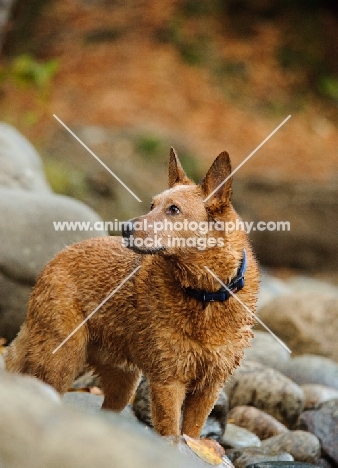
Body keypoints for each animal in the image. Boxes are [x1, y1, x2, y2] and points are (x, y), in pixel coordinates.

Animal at [5, 149, 258, 436]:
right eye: (151, 206)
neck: (206, 295)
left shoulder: (210, 386)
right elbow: (171, 433)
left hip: (123, 380)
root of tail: (55, 258)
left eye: (173, 209)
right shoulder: (168, 380)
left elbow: (190, 433)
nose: (126, 227)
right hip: (61, 358)